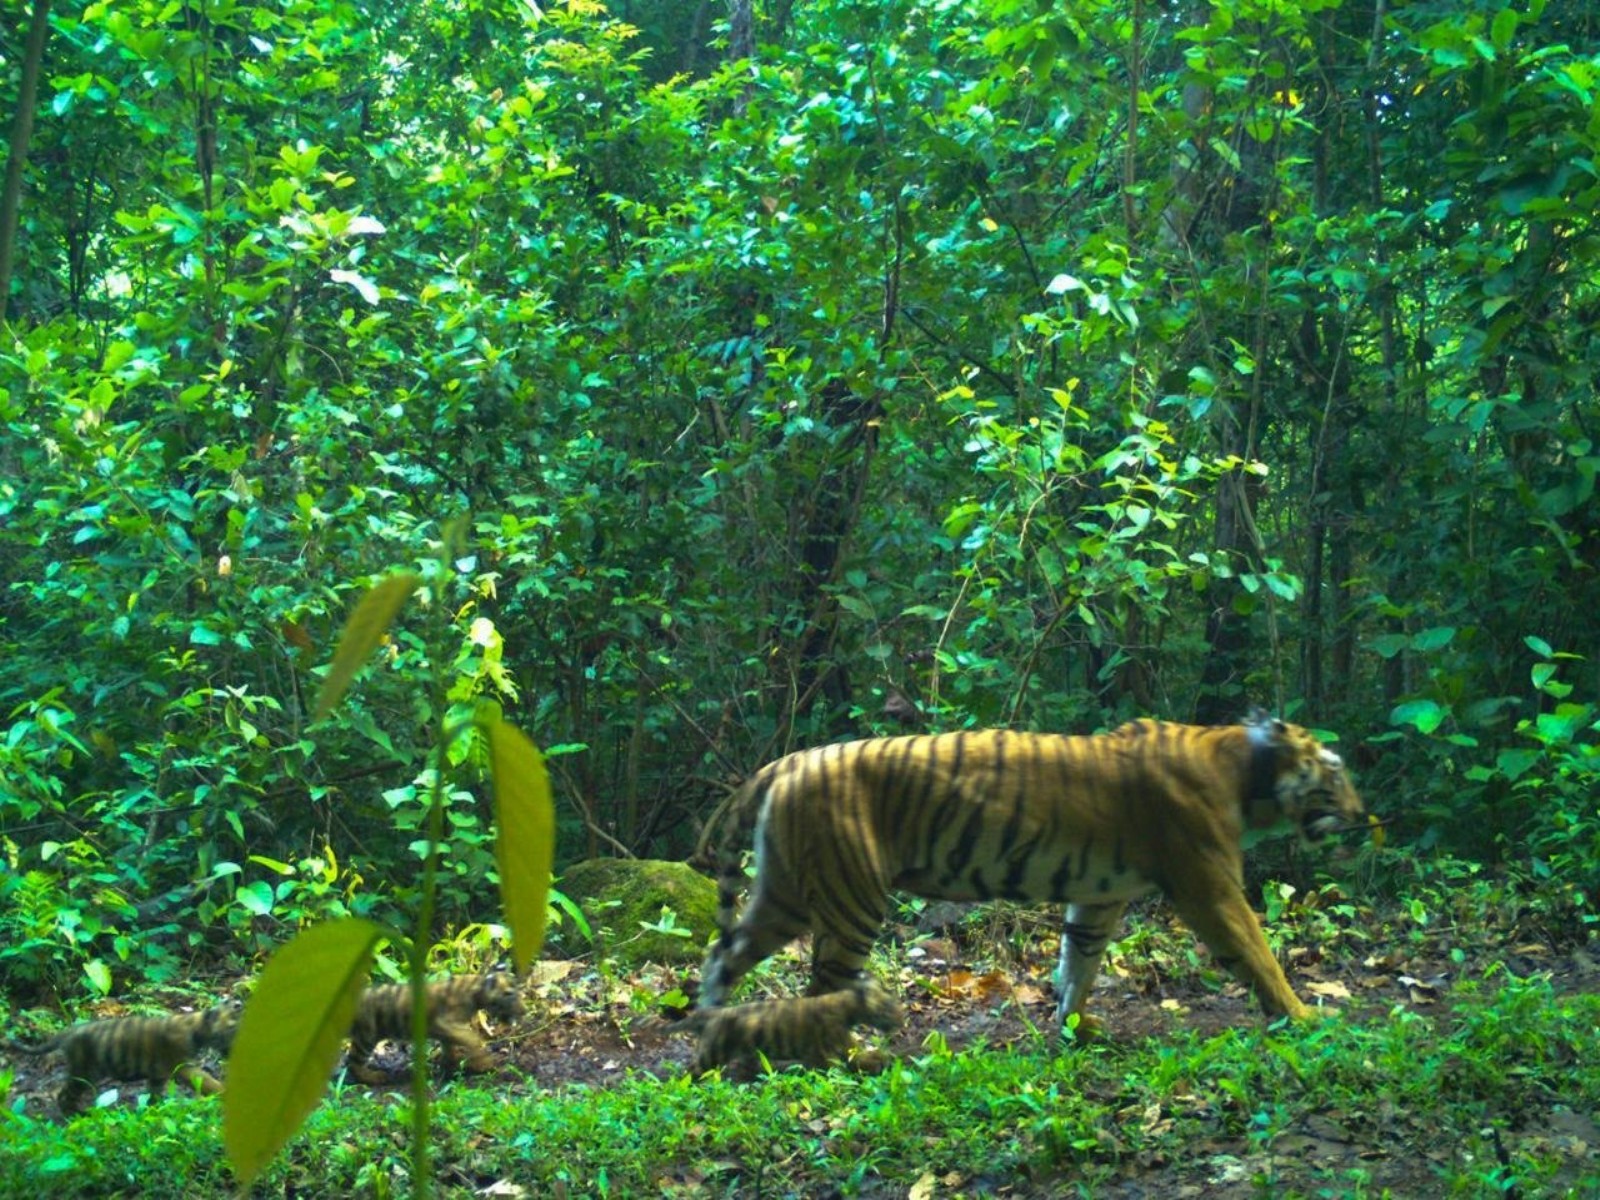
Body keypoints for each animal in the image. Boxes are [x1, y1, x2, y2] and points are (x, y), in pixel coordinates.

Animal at [5, 1001, 241, 1116]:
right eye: (232, 1028)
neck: (198, 1028)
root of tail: (70, 1031)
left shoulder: (158, 1075)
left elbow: (154, 1093)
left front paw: (154, 1110)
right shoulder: (183, 1067)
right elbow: (208, 1081)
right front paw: (225, 1093)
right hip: (84, 1073)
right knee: (64, 1095)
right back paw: (77, 1116)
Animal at [345, 970, 524, 1084]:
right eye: (509, 994)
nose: (524, 1009)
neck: (476, 993)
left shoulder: (447, 1031)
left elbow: (450, 1048)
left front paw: (451, 1069)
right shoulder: (443, 1023)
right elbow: (472, 1038)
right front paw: (485, 1064)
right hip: (367, 1036)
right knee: (352, 1062)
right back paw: (375, 1077)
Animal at [681, 977, 905, 1075]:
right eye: (887, 1008)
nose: (902, 1021)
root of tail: (708, 1013)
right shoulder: (830, 1050)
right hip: (711, 1053)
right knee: (691, 1069)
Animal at [696, 712, 1364, 1038]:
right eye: (1334, 771)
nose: (1362, 815)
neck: (1246, 777)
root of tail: (789, 761)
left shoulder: (1100, 896)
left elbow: (1079, 964)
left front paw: (1073, 1028)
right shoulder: (1211, 886)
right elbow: (1260, 956)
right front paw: (1307, 1018)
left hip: (785, 893)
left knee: (720, 956)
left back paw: (711, 1029)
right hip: (850, 898)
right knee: (822, 987)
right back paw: (848, 1056)